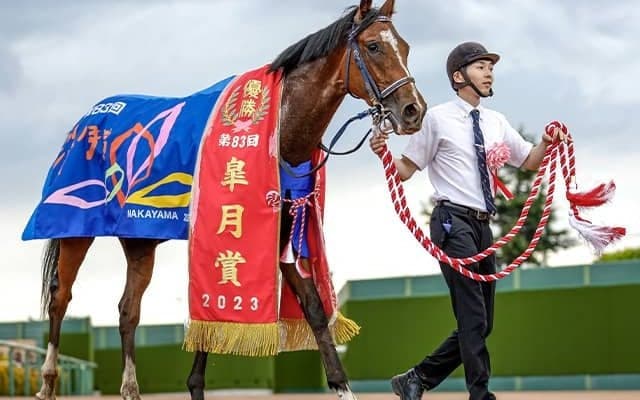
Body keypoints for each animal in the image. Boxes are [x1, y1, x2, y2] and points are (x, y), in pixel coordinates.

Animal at [33, 1, 426, 399]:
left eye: (406, 48)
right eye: (374, 46)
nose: (414, 110)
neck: (278, 131)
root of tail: (84, 121)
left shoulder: (279, 233)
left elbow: (313, 309)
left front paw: (342, 386)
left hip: (139, 238)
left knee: (128, 309)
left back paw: (130, 388)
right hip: (75, 228)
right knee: (61, 298)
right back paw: (48, 382)